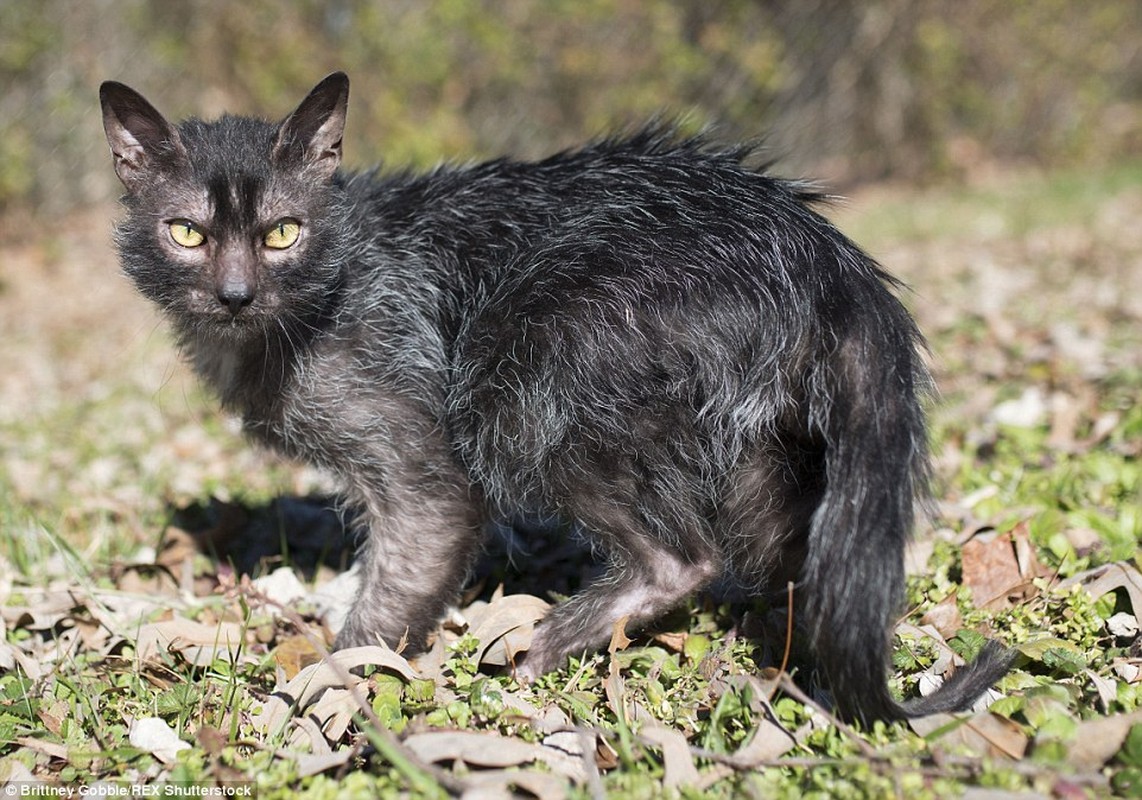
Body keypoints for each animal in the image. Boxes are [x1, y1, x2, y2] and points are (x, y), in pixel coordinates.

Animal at [95, 71, 1009, 721]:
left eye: (284, 233)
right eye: (187, 233)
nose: (235, 294)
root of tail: (824, 252)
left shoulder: (425, 472)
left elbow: (390, 596)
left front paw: (321, 694)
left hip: (520, 386)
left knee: (682, 556)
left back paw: (555, 643)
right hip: (756, 446)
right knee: (783, 555)